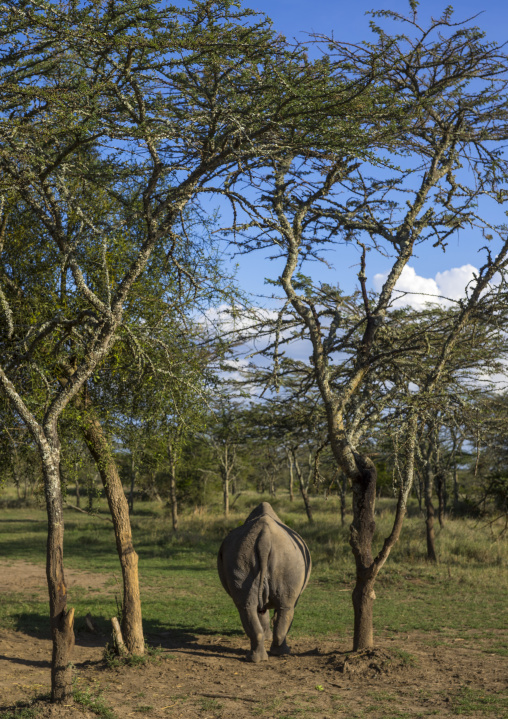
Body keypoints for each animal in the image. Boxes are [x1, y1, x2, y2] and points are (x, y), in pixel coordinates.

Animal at [217, 502, 311, 662]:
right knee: (282, 607)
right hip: (282, 556)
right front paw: (268, 636)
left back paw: (258, 658)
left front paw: (267, 636)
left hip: (246, 555)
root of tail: (264, 538)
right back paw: (277, 654)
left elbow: (263, 611)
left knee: (247, 607)